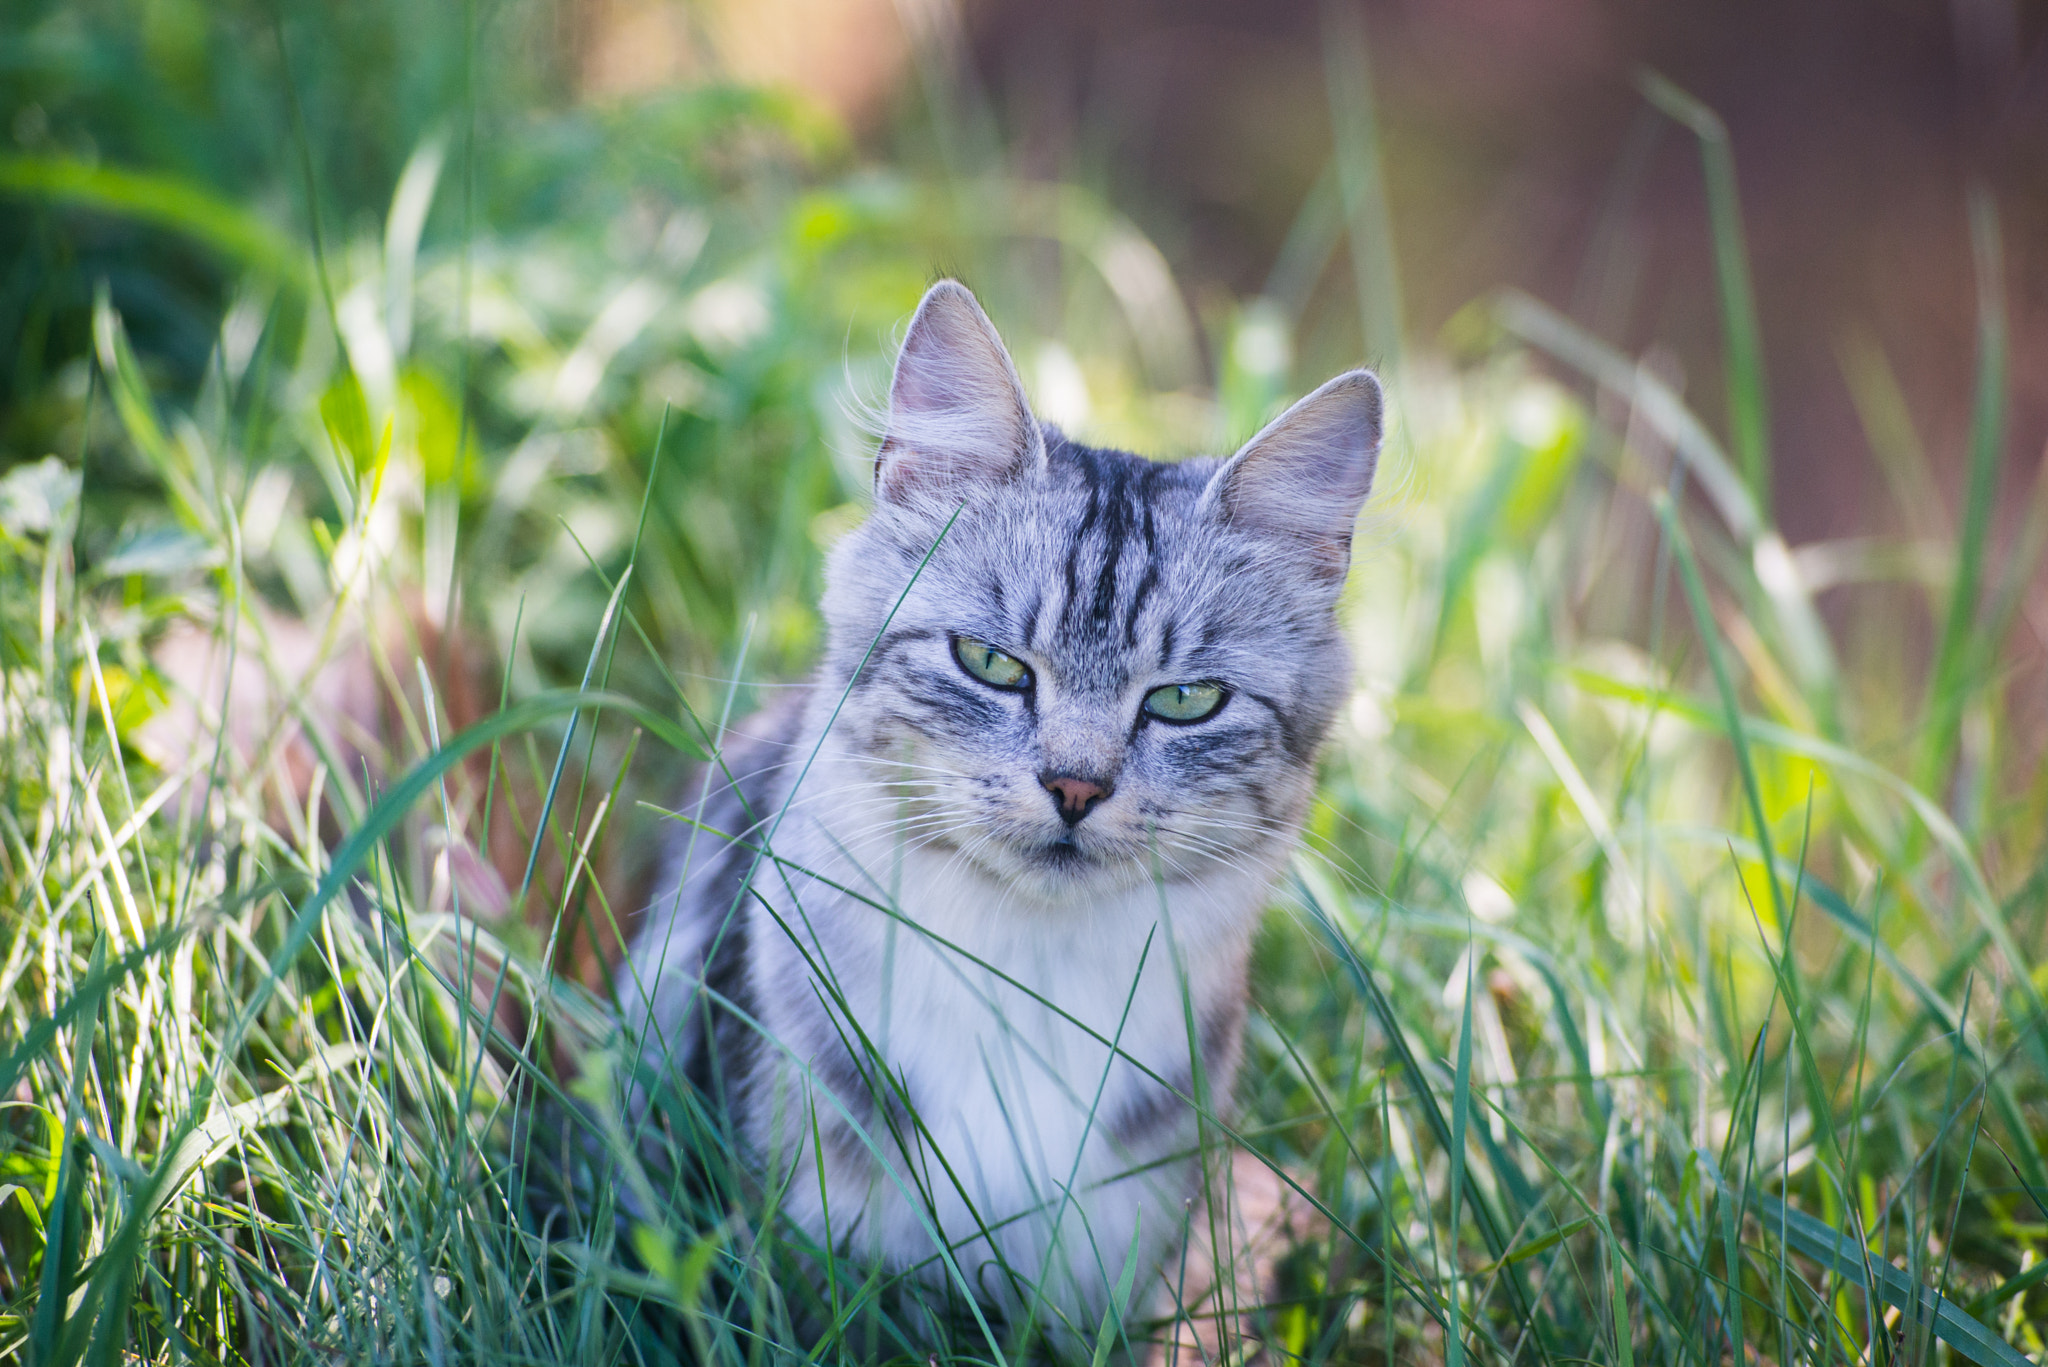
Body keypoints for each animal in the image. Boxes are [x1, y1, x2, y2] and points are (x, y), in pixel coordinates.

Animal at [614, 280, 1384, 1360]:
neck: (1028, 979)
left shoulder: (1137, 1270)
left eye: (1185, 700)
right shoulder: (811, 1246)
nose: (1074, 787)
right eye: (992, 664)